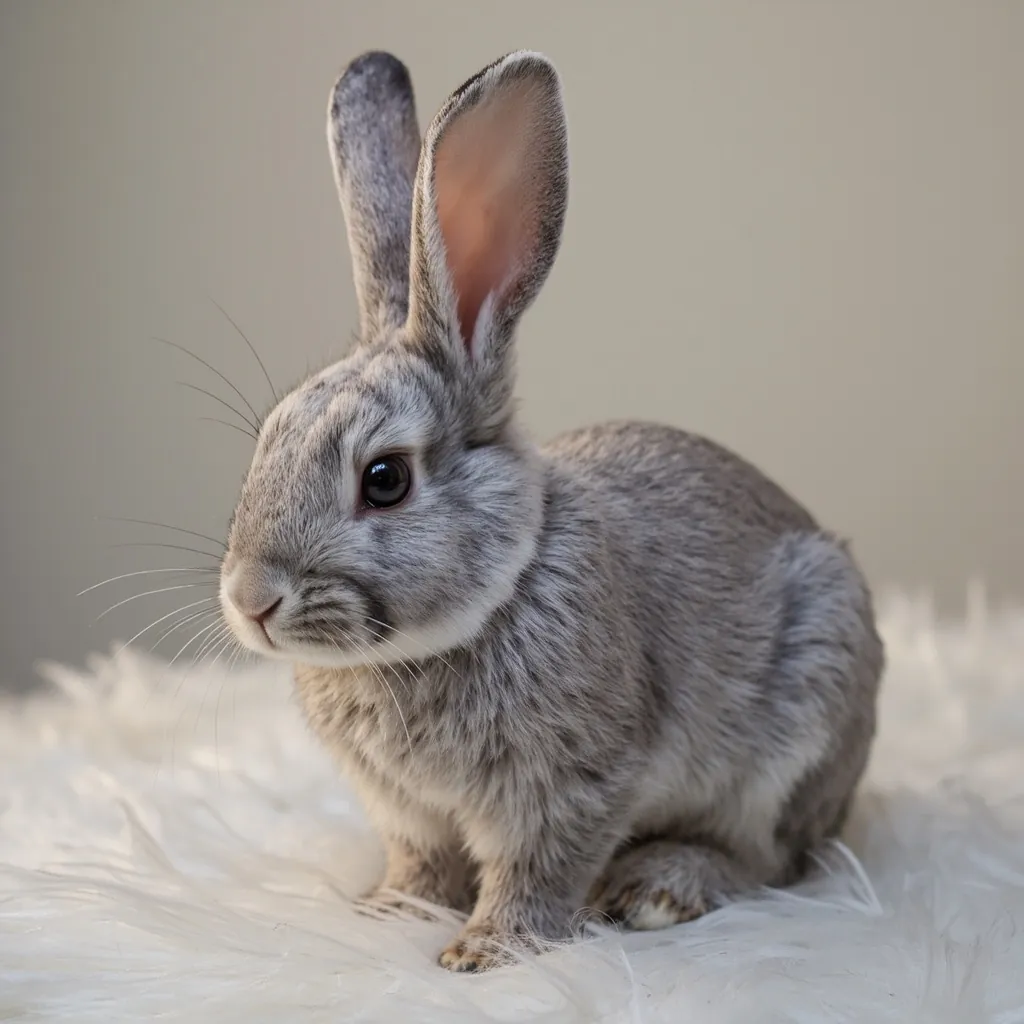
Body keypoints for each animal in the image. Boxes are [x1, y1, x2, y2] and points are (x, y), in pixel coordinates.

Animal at [218, 49, 884, 972]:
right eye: (268, 438)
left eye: (385, 479)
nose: (250, 600)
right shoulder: (406, 810)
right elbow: (420, 863)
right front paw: (386, 913)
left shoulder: (573, 783)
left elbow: (538, 867)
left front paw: (482, 951)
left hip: (805, 708)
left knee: (769, 858)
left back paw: (657, 889)